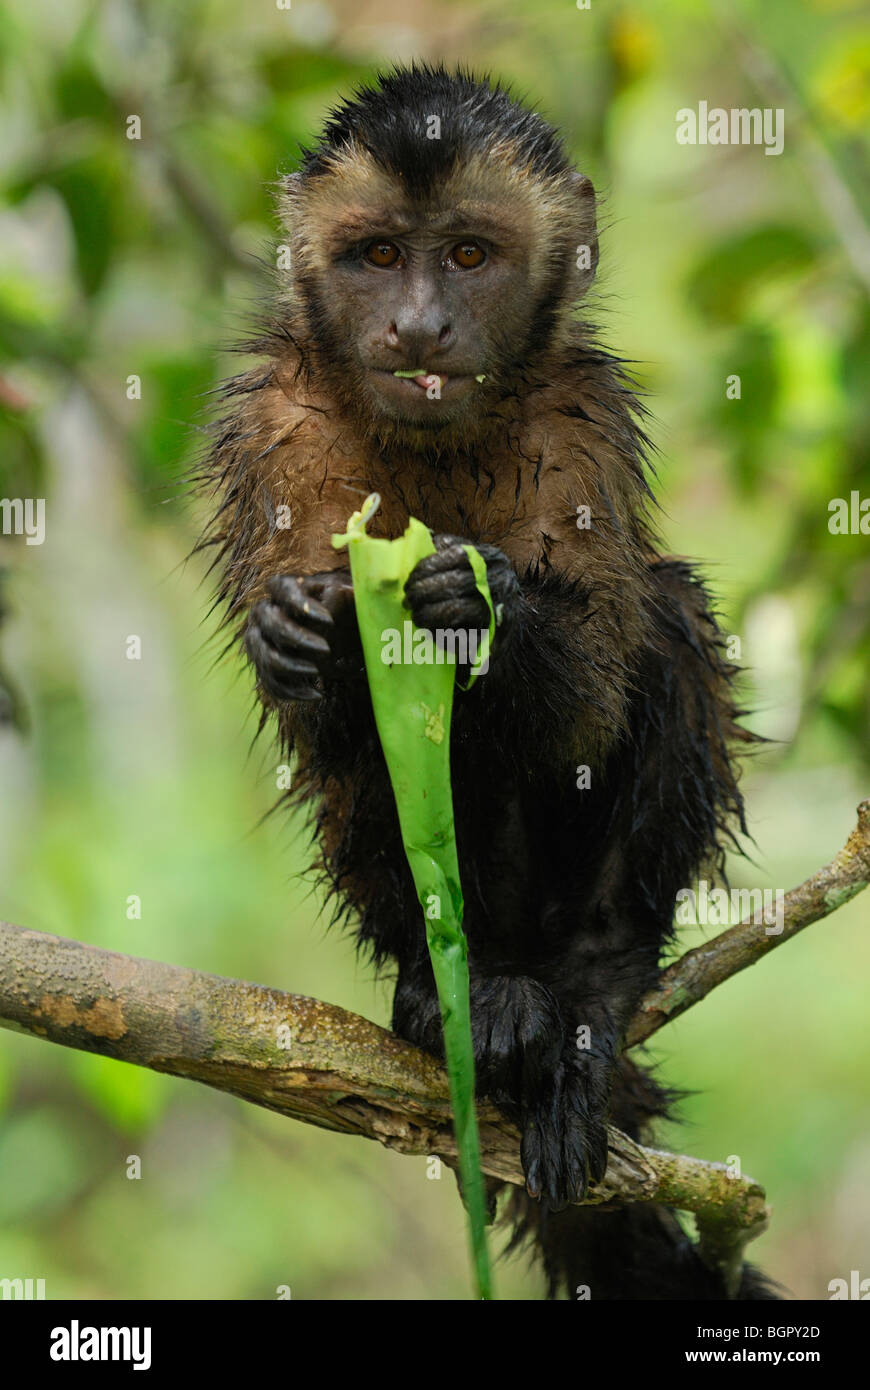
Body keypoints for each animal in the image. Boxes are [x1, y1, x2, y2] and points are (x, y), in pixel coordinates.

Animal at [198, 65, 778, 1301]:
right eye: (376, 255)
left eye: (468, 254)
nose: (419, 324)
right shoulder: (276, 423)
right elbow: (327, 720)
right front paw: (294, 635)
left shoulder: (580, 414)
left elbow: (595, 697)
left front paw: (484, 611)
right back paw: (447, 993)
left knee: (668, 617)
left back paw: (584, 998)